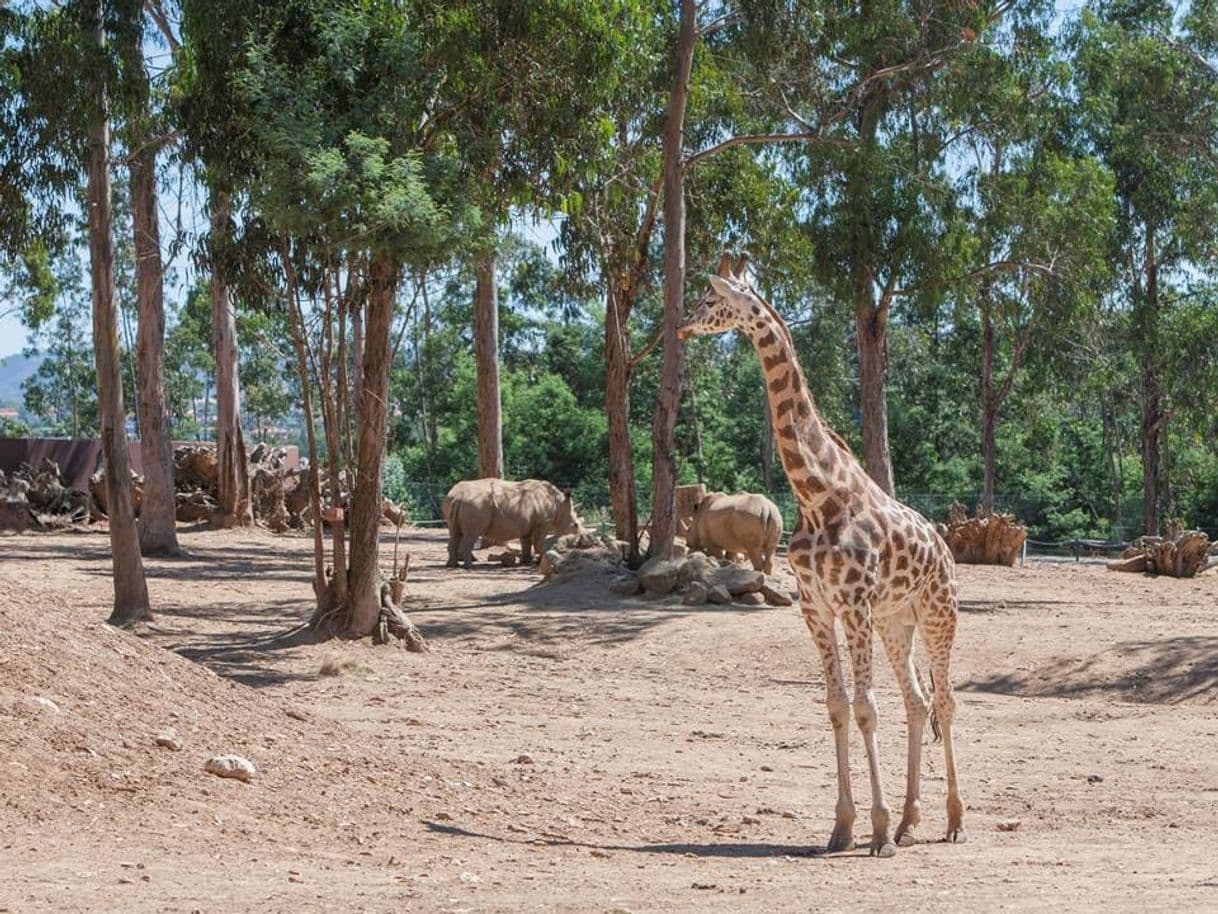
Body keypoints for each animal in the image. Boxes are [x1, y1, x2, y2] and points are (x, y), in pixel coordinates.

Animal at [682, 255, 964, 857]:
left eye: (710, 299)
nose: (682, 326)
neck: (817, 494)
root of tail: (947, 549)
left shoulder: (852, 604)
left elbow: (865, 708)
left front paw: (875, 830)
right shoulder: (816, 607)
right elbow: (837, 707)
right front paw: (844, 827)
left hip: (938, 615)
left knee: (946, 702)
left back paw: (953, 821)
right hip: (895, 621)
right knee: (917, 701)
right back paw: (911, 822)